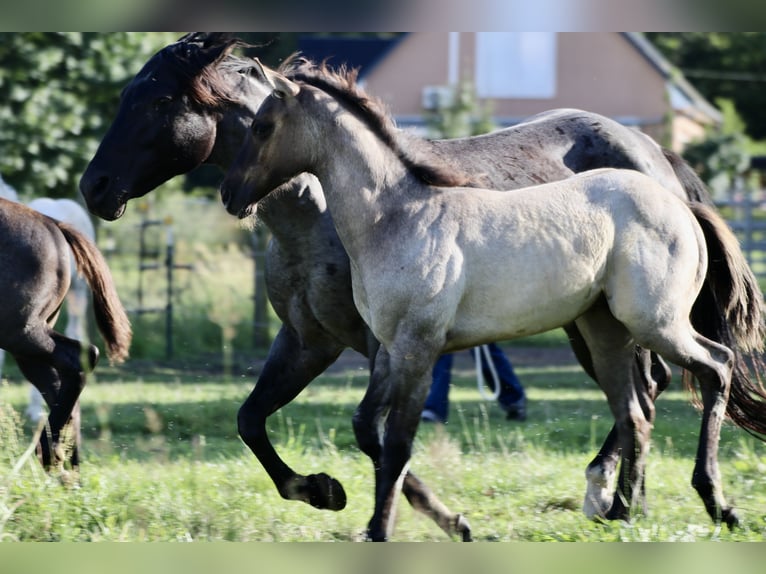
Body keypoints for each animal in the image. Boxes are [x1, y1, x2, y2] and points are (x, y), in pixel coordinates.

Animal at [0, 198, 132, 472]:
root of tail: (53, 223)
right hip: (26, 345)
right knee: (60, 389)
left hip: (21, 333)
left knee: (82, 357)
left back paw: (50, 452)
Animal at [76, 35, 756, 540]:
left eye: (157, 100)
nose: (94, 186)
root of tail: (668, 181)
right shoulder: (322, 342)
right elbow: (279, 422)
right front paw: (331, 493)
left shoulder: (409, 347)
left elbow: (391, 441)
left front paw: (403, 522)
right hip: (601, 326)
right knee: (640, 403)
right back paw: (621, 507)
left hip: (644, 322)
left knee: (705, 370)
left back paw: (702, 502)